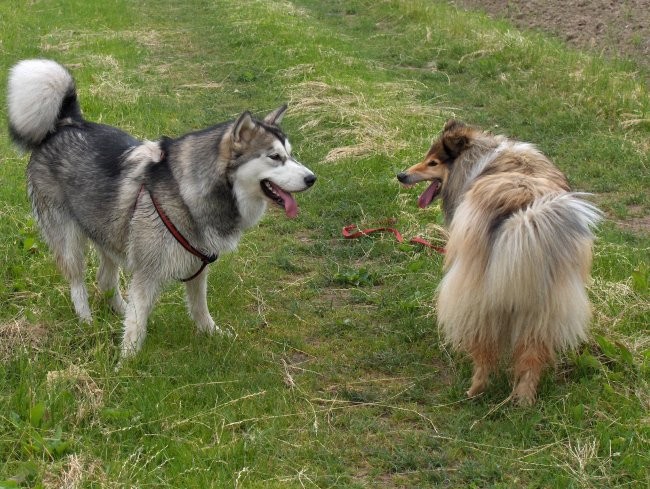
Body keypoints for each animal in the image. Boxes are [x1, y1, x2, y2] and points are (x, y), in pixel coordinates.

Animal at [6, 59, 316, 356]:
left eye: (291, 155)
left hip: (110, 231)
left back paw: (118, 311)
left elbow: (199, 308)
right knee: (78, 282)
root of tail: (68, 122)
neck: (185, 191)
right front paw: (127, 362)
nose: (312, 178)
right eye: (275, 157)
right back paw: (86, 320)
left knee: (105, 280)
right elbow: (137, 324)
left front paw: (213, 334)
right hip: (69, 239)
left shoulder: (197, 266)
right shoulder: (147, 272)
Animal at [398, 121, 600, 404]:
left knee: (485, 352)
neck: (481, 157)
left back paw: (475, 390)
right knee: (531, 356)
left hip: (477, 299)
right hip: (545, 308)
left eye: (433, 162)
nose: (400, 175)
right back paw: (524, 400)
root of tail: (523, 216)